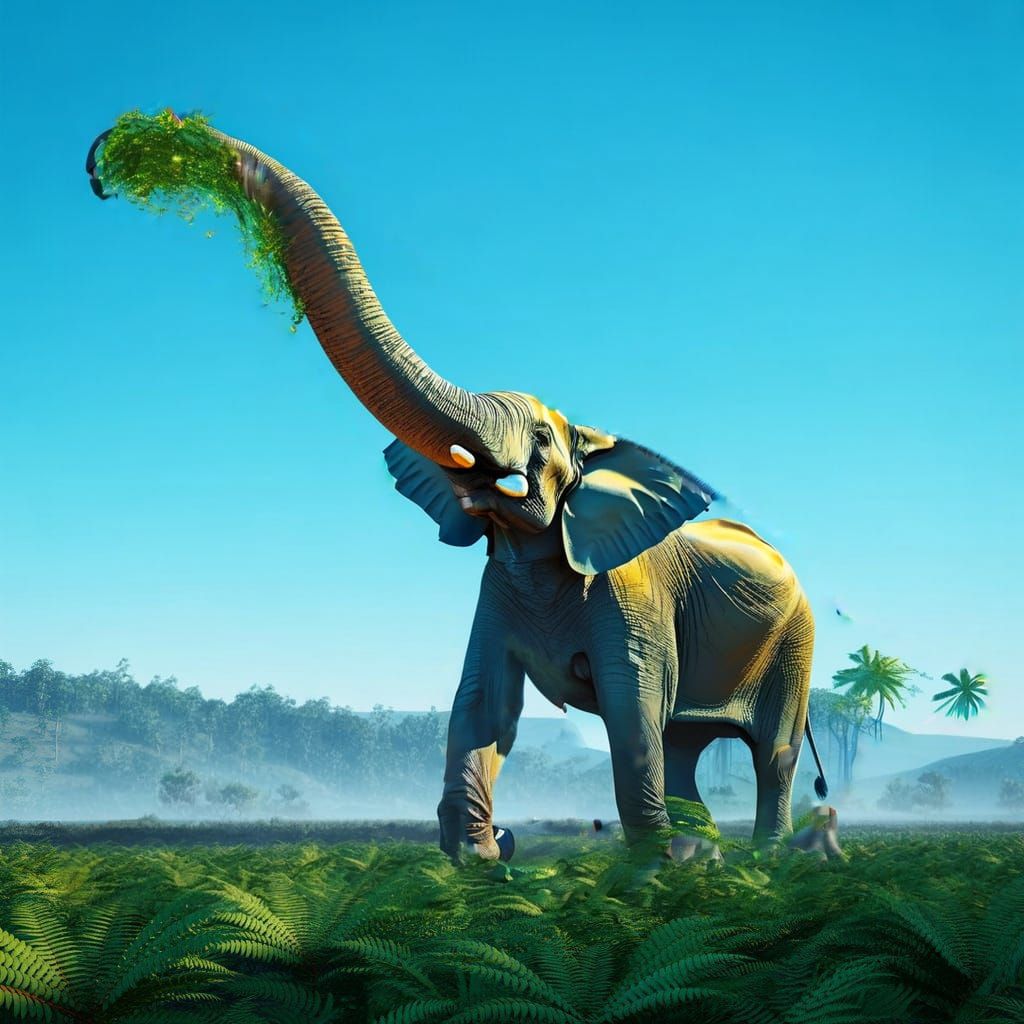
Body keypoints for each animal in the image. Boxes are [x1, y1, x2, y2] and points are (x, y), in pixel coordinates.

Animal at [87, 118, 829, 861]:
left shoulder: (633, 596)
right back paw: (709, 857)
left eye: (540, 439)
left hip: (796, 642)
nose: (101, 166)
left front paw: (645, 871)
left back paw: (758, 862)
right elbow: (482, 704)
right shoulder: (496, 588)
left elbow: (630, 714)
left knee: (768, 754)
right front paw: (480, 859)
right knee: (682, 744)